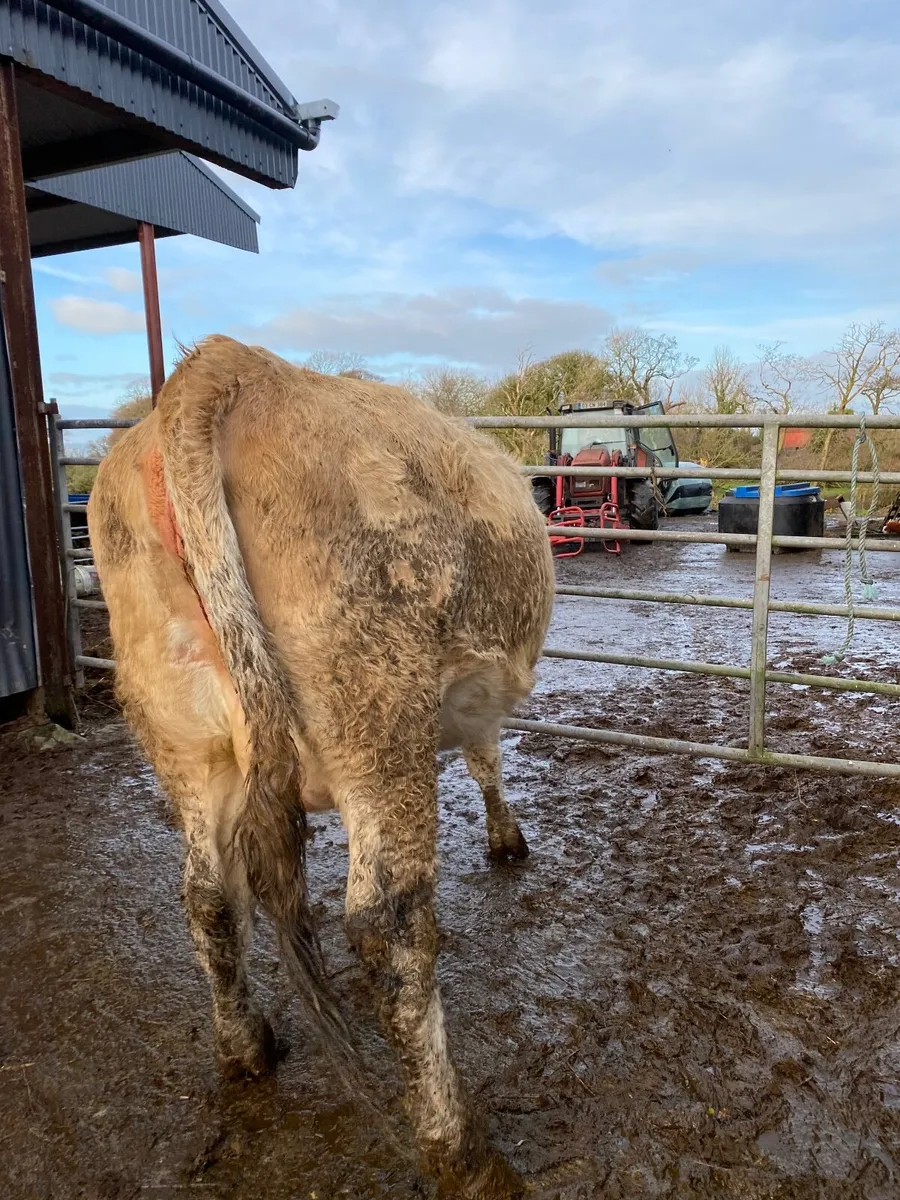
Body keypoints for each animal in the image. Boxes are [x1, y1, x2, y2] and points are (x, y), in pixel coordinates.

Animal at [87, 335, 555, 1197]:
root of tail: (225, 367)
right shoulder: (465, 703)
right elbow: (488, 758)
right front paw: (508, 839)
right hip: (378, 708)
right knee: (387, 926)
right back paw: (458, 1148)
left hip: (183, 733)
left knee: (209, 897)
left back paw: (248, 1048)